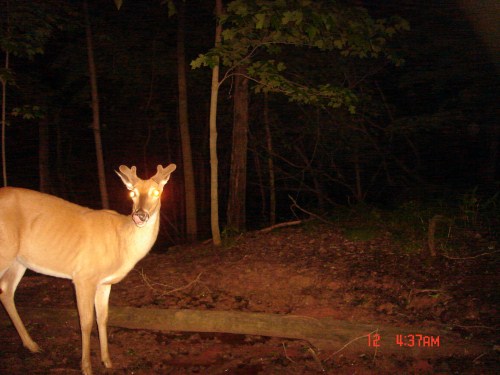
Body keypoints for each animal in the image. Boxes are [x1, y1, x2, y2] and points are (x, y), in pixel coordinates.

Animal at [0, 164, 176, 375]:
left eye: (156, 192)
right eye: (131, 193)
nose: (139, 215)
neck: (122, 243)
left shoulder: (104, 282)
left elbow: (103, 318)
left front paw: (107, 360)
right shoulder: (84, 276)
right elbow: (85, 322)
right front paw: (86, 366)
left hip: (18, 261)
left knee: (6, 292)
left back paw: (32, 345)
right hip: (5, 251)